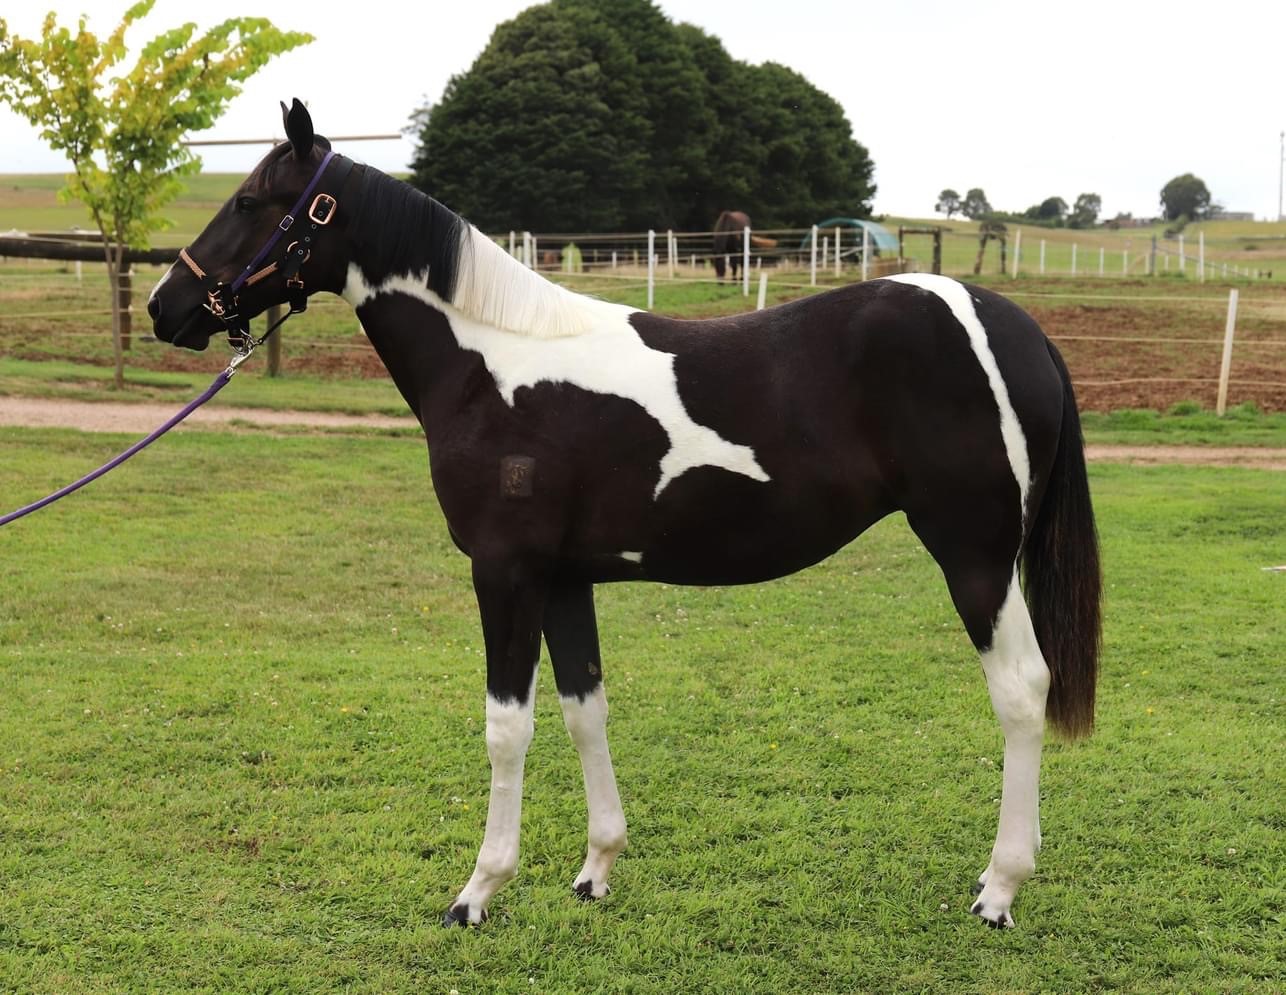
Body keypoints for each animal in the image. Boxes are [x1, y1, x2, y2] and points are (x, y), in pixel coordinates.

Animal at [148, 100, 1101, 930]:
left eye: (249, 201)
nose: (167, 306)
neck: (492, 365)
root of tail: (1016, 327)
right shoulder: (566, 579)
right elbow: (585, 708)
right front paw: (596, 868)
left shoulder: (505, 572)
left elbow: (506, 726)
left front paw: (477, 891)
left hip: (975, 556)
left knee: (1023, 689)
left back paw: (998, 889)